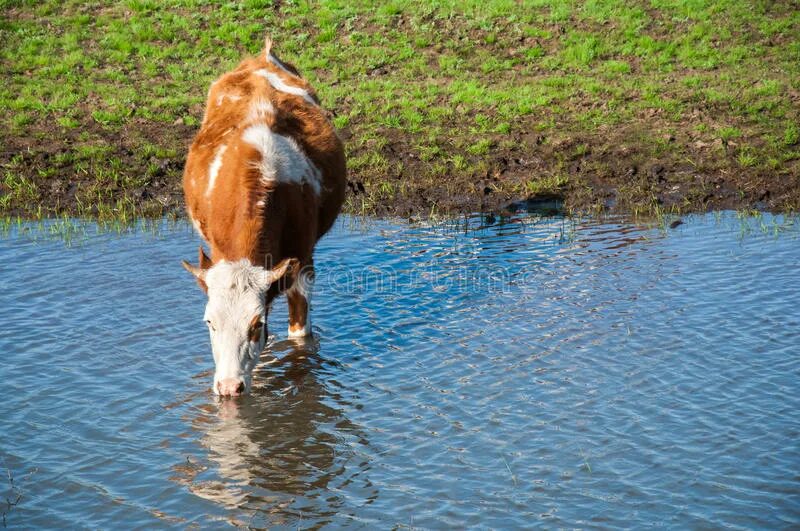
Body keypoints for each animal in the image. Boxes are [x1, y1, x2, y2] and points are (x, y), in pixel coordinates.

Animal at [181, 37, 344, 396]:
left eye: (257, 324)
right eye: (209, 322)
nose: (229, 387)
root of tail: (262, 58)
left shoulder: (303, 263)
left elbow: (300, 338)